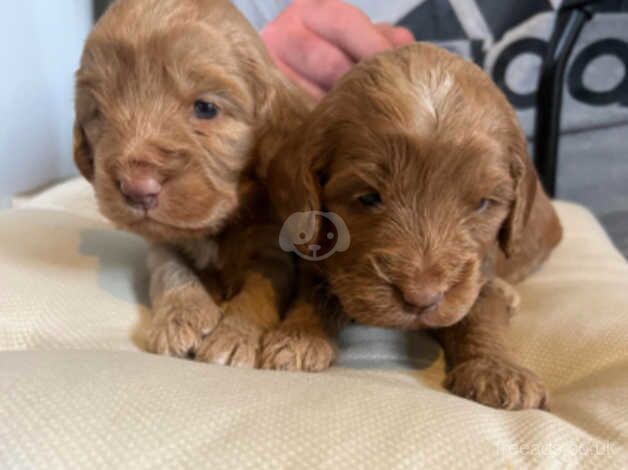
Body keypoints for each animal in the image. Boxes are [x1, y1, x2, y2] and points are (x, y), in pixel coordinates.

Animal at [74, 0, 312, 366]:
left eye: (205, 108)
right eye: (98, 112)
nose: (137, 188)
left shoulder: (274, 248)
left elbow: (260, 290)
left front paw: (234, 335)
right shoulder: (161, 242)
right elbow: (169, 269)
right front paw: (179, 316)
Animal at [268, 44, 560, 410]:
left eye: (482, 204)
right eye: (368, 197)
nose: (421, 299)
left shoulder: (480, 273)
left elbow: (482, 311)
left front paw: (498, 369)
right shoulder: (320, 258)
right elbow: (314, 293)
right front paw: (298, 336)